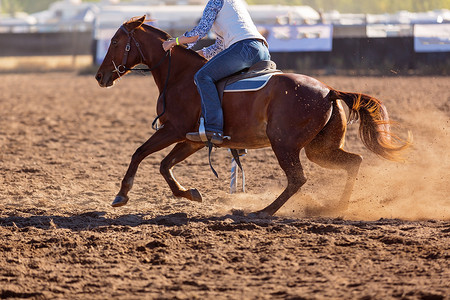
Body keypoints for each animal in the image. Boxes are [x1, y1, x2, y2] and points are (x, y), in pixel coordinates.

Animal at [95, 17, 412, 216]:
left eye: (115, 41)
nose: (100, 76)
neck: (181, 76)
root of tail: (328, 91)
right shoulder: (192, 139)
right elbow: (164, 165)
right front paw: (190, 193)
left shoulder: (172, 129)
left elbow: (139, 153)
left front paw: (122, 195)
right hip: (319, 148)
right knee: (353, 162)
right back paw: (338, 208)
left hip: (284, 144)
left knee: (297, 179)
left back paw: (264, 211)